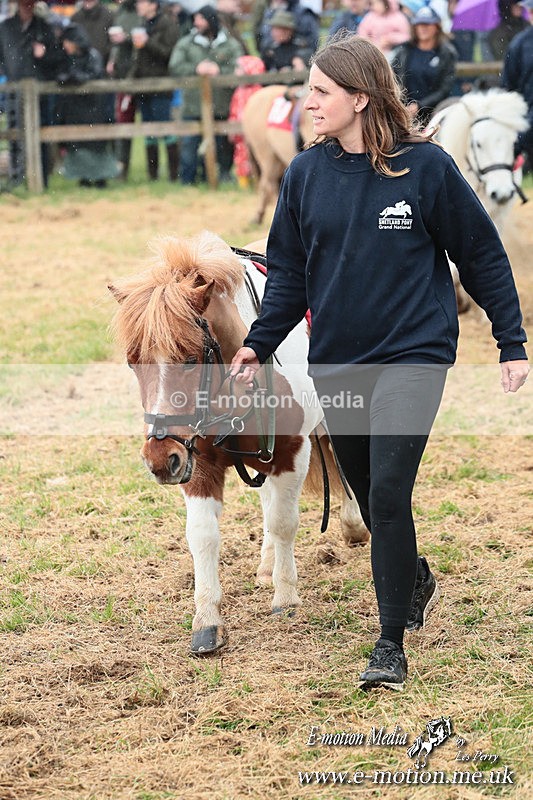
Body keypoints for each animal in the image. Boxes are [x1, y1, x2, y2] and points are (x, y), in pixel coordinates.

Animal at [109, 231, 368, 655]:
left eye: (190, 358)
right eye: (133, 361)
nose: (161, 458)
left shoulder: (291, 454)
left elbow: (283, 522)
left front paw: (285, 598)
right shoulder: (198, 463)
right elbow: (203, 535)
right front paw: (207, 621)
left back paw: (352, 524)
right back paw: (266, 564)